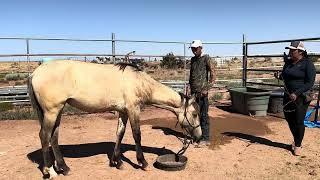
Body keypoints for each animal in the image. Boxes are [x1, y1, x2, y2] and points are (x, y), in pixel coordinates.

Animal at [28, 60, 202, 179]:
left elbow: (120, 133)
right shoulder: (133, 109)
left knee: (54, 137)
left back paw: (64, 168)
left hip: (57, 111)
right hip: (52, 111)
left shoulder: (123, 111)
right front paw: (142, 162)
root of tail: (34, 74)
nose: (198, 137)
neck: (139, 81)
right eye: (194, 114)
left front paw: (117, 162)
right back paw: (50, 171)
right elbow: (137, 134)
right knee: (44, 136)